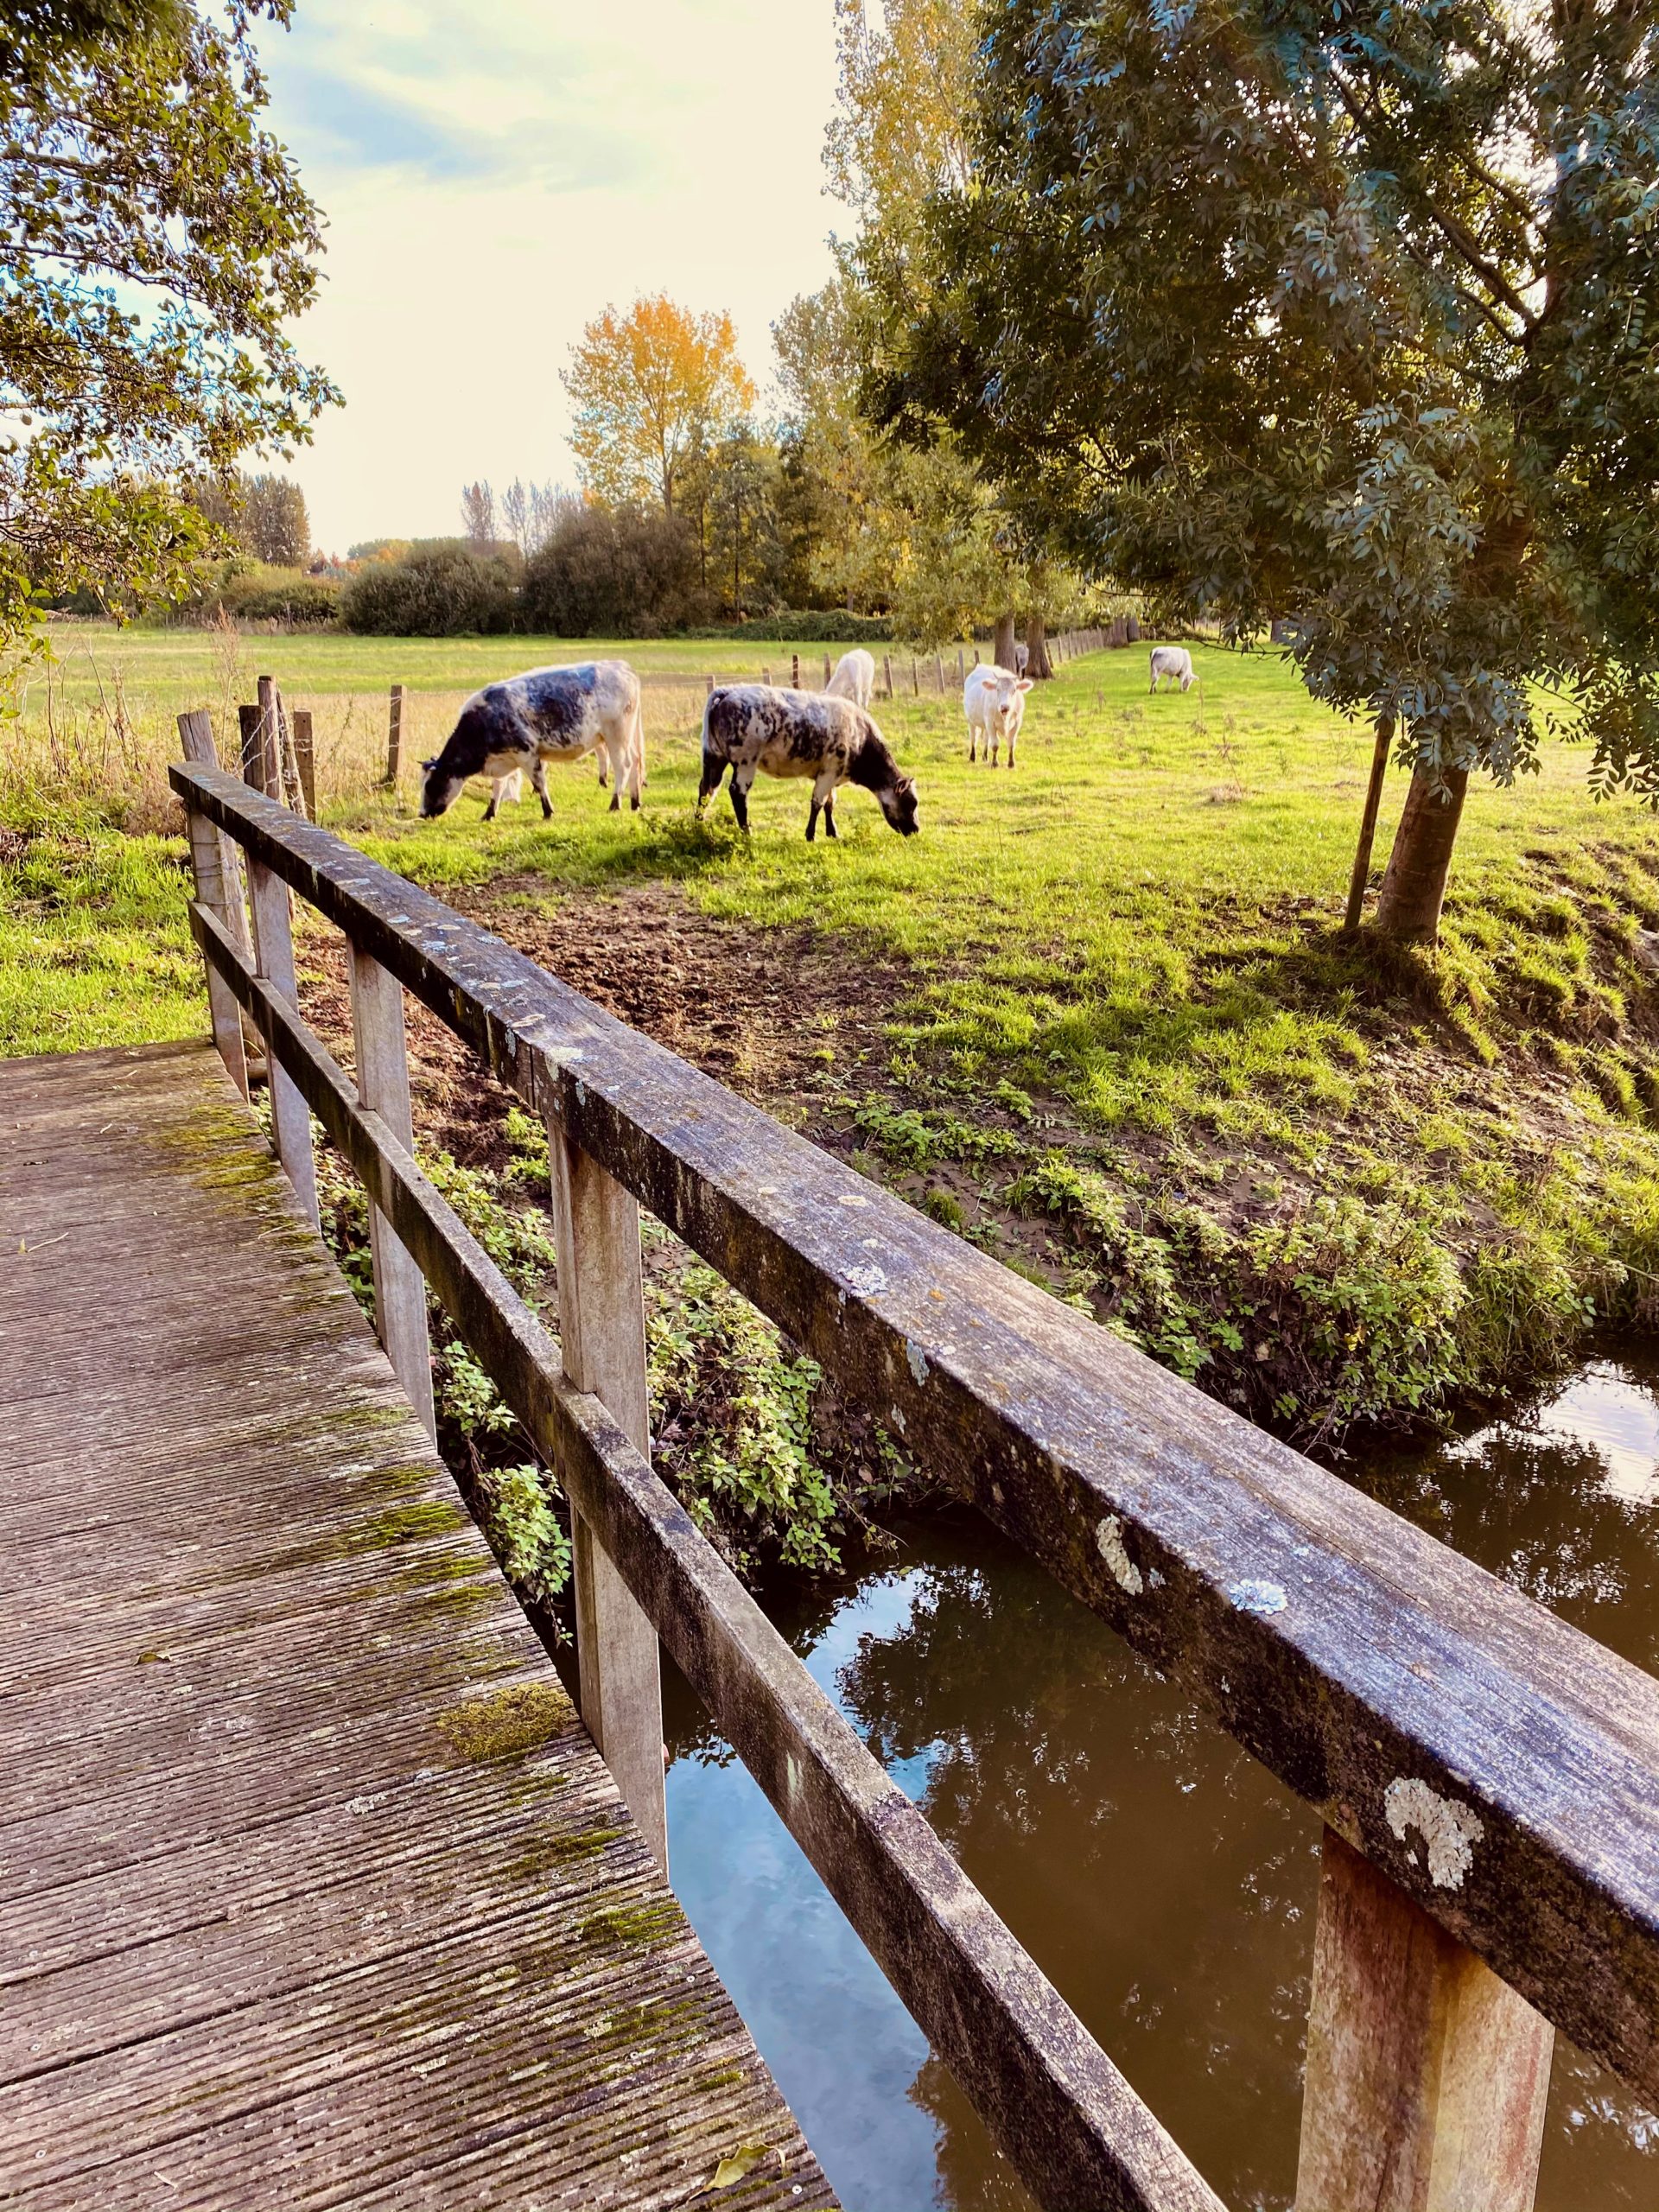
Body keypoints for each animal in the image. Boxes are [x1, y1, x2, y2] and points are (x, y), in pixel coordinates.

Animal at [417, 664, 645, 831]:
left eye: (431, 785)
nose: (421, 813)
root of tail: (621, 667)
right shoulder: (504, 758)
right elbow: (498, 786)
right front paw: (489, 813)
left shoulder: (527, 754)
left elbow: (539, 782)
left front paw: (548, 812)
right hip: (626, 737)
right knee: (635, 762)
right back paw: (635, 803)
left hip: (616, 736)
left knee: (623, 767)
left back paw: (615, 804)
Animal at [694, 677, 915, 840]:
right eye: (911, 803)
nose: (916, 830)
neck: (860, 737)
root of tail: (728, 691)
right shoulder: (830, 771)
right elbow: (818, 802)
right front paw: (811, 835)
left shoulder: (832, 773)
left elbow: (830, 803)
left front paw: (832, 833)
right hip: (745, 762)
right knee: (738, 793)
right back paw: (747, 833)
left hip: (714, 756)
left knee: (707, 789)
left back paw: (699, 825)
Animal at [969, 654, 1035, 769]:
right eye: (997, 689)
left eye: (1014, 690)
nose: (1005, 707)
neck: (1005, 717)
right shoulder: (991, 723)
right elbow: (995, 744)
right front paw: (995, 763)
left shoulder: (1017, 723)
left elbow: (1011, 743)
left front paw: (1011, 763)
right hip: (971, 721)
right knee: (974, 738)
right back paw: (972, 757)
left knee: (986, 739)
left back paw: (985, 757)